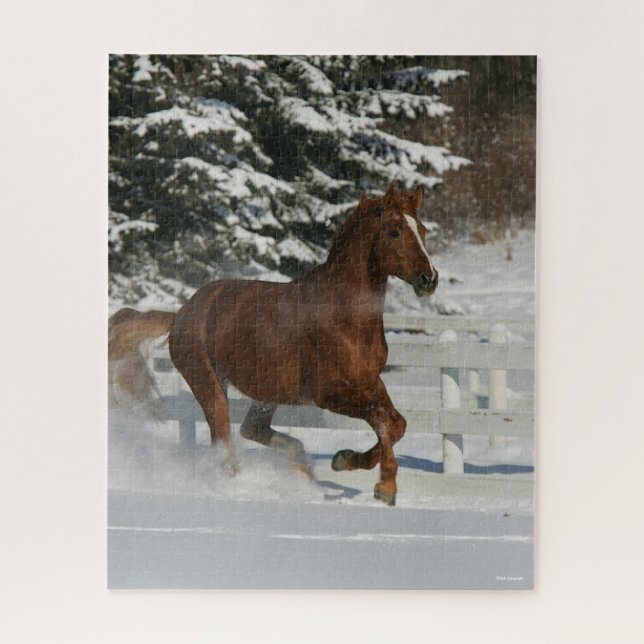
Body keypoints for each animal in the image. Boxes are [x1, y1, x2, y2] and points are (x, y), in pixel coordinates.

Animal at [108, 184, 438, 505]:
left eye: (422, 230)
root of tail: (180, 314)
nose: (429, 279)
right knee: (224, 438)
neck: (344, 316)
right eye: (395, 231)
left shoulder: (370, 382)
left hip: (267, 391)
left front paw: (344, 460)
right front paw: (385, 487)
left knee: (251, 428)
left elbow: (398, 423)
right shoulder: (327, 393)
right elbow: (380, 419)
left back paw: (301, 467)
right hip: (209, 383)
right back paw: (238, 485)